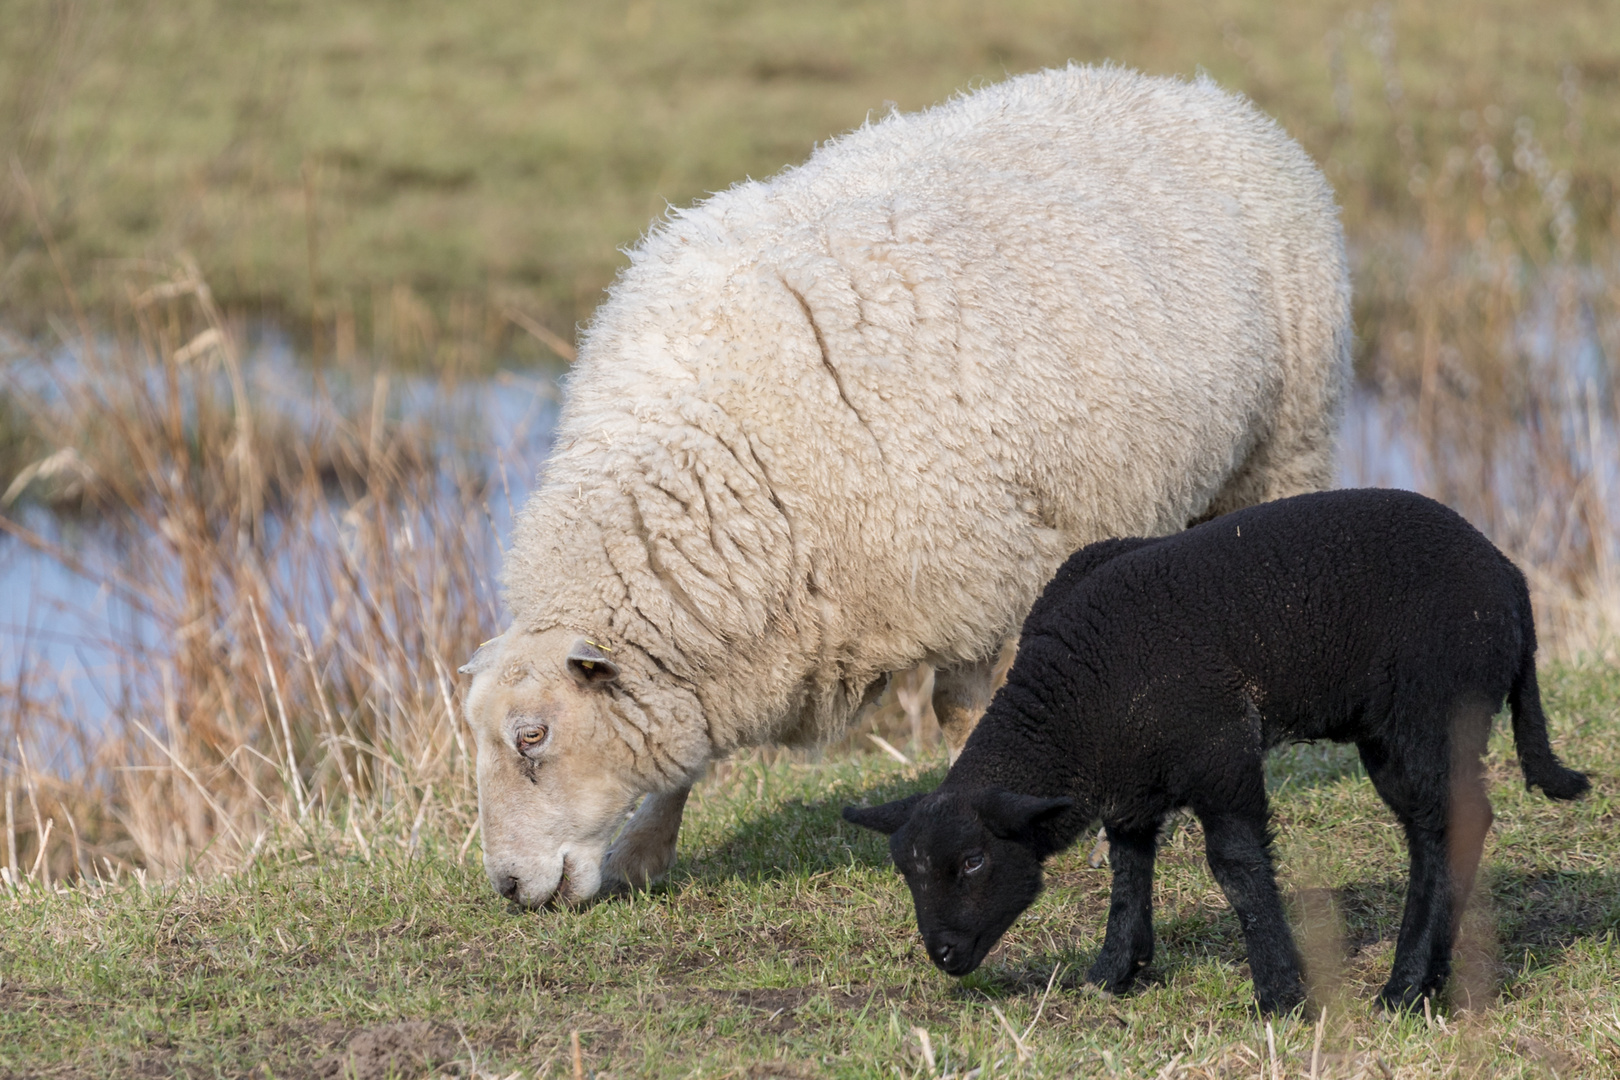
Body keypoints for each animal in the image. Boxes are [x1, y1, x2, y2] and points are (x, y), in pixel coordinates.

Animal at [463, 59, 1347, 906]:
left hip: (1283, 440)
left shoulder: (975, 568)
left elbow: (965, 713)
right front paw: (644, 853)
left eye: (532, 736)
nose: (508, 887)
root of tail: (1188, 89)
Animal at [842, 488, 1587, 1016]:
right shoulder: (1131, 782)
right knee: (1431, 831)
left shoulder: (1221, 753)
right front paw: (1114, 971)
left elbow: (1237, 868)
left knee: (1453, 820)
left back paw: (1404, 989)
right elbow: (1128, 869)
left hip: (1434, 709)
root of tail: (1509, 576)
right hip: (1388, 732)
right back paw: (1422, 980)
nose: (943, 954)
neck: (1078, 699)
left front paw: (1281, 994)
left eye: (973, 861)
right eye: (906, 870)